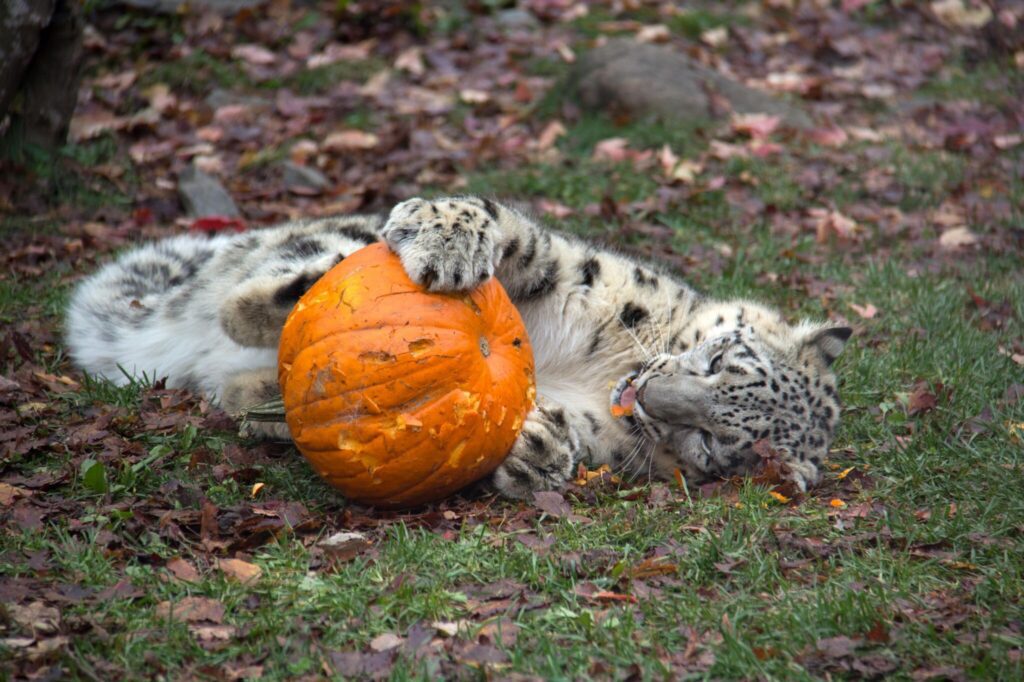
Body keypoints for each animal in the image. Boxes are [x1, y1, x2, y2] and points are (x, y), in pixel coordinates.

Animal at [68, 193, 851, 497]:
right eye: (719, 359)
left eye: (714, 441)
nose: (651, 395)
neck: (611, 365)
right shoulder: (587, 275)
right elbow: (518, 235)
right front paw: (449, 238)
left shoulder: (613, 435)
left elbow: (573, 439)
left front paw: (537, 447)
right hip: (313, 245)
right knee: (254, 293)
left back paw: (270, 404)